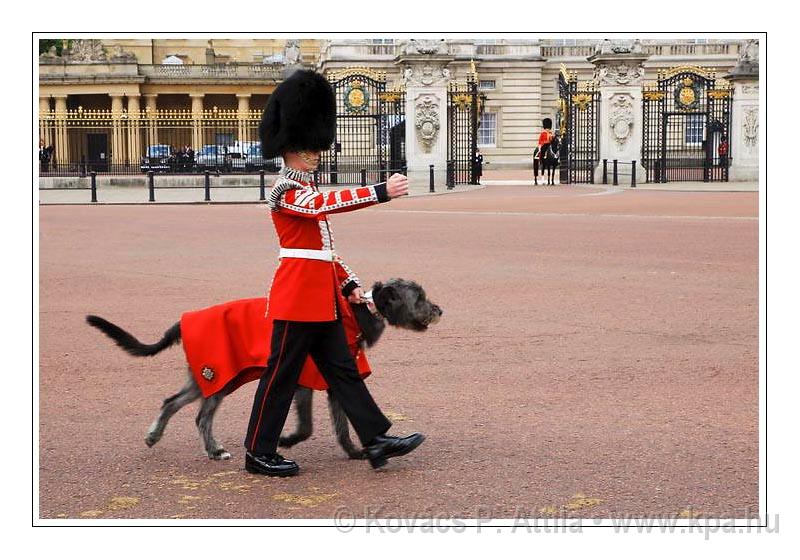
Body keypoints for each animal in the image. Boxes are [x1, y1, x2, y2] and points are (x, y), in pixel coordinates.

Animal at [87, 278, 444, 462]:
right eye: (419, 297)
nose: (440, 310)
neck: (354, 312)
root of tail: (183, 321)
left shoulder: (322, 380)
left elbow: (333, 423)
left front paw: (358, 450)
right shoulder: (310, 379)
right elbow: (317, 426)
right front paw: (289, 441)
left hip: (210, 378)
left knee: (172, 402)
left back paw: (158, 436)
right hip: (218, 376)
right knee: (201, 415)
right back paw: (214, 449)